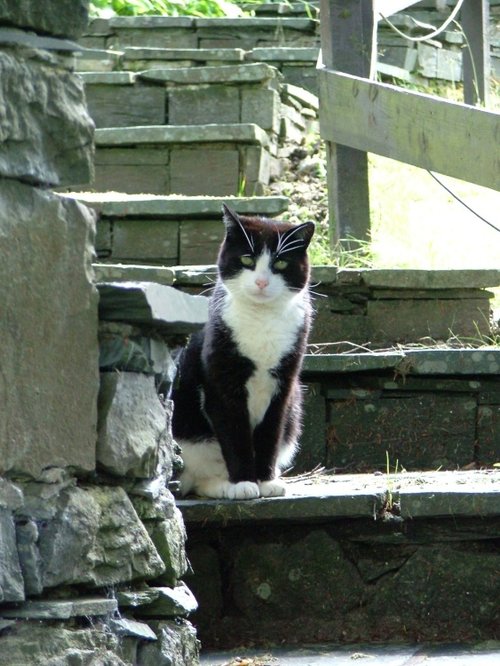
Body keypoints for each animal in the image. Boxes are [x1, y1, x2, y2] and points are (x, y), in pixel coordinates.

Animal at [171, 202, 312, 498]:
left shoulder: (284, 382)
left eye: (280, 263)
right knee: (198, 478)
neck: (262, 320)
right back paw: (227, 485)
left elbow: (270, 433)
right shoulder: (221, 381)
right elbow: (234, 434)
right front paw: (245, 482)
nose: (261, 282)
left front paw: (266, 481)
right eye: (247, 260)